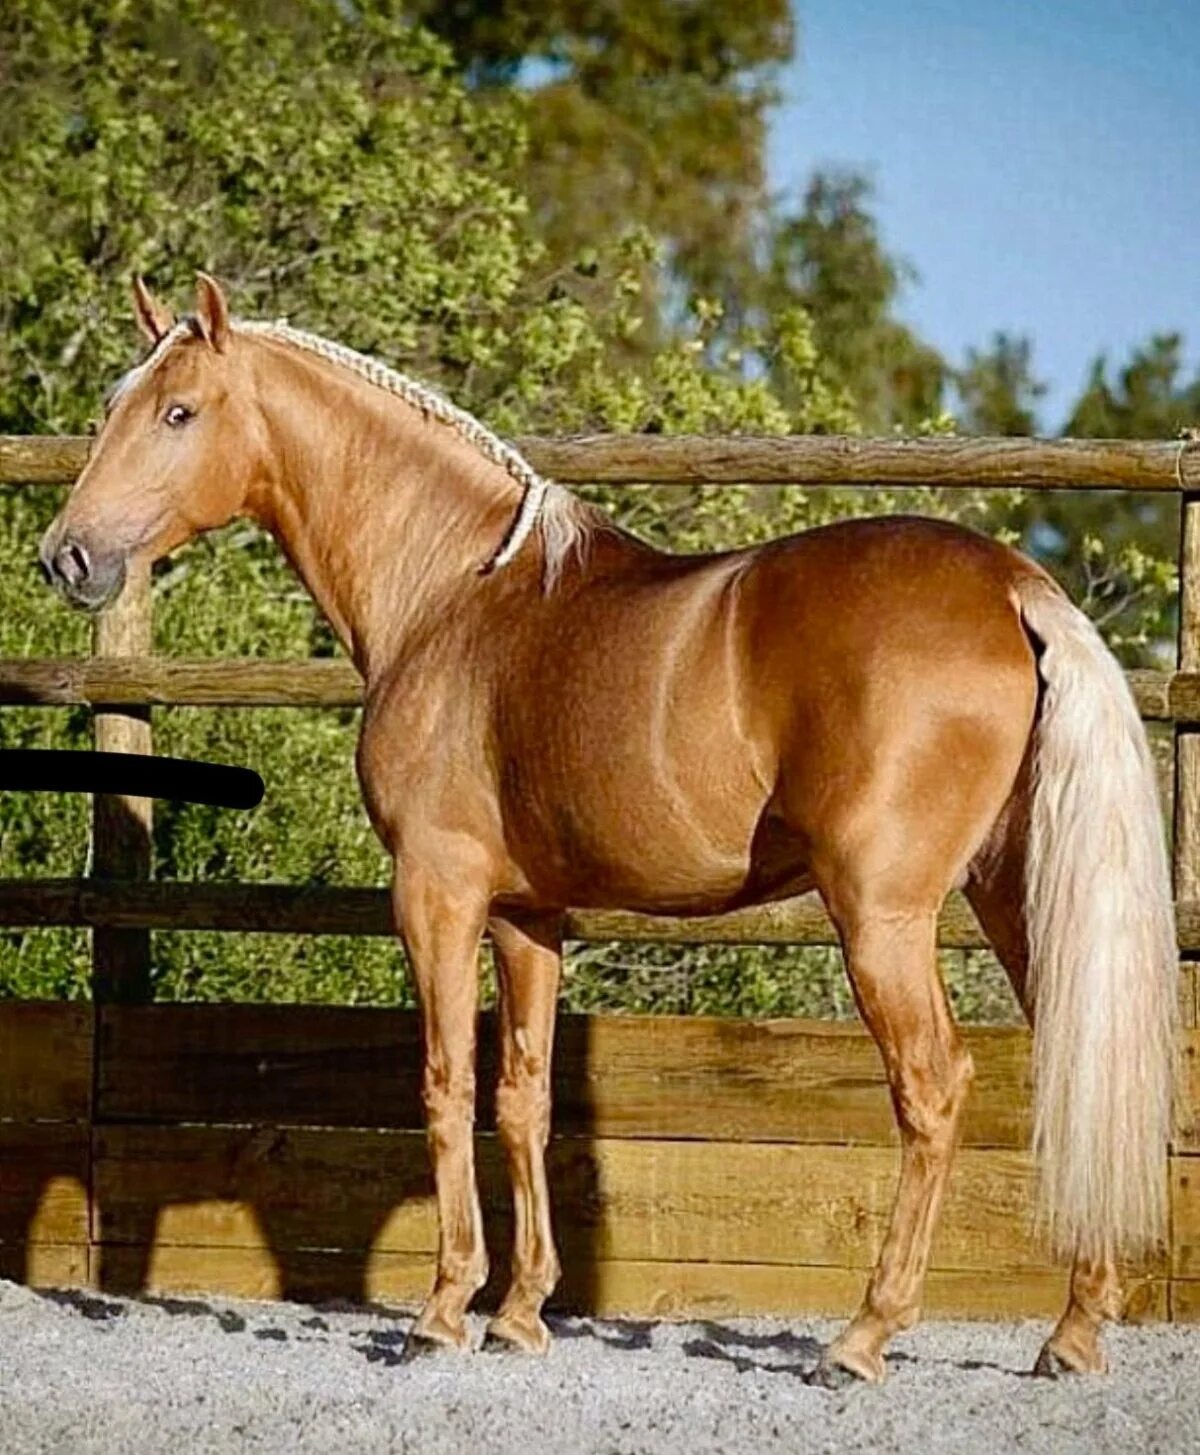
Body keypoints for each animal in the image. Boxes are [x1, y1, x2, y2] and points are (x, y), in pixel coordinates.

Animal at [42, 274, 1175, 1385]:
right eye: (117, 405)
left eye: (180, 411)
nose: (68, 557)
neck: (453, 594)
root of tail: (1011, 588)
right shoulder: (528, 915)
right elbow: (523, 1095)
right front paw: (521, 1313)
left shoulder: (436, 892)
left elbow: (446, 1085)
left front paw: (443, 1311)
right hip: (1014, 899)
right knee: (1077, 1070)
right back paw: (1074, 1331)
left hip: (882, 918)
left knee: (933, 1089)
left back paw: (862, 1337)